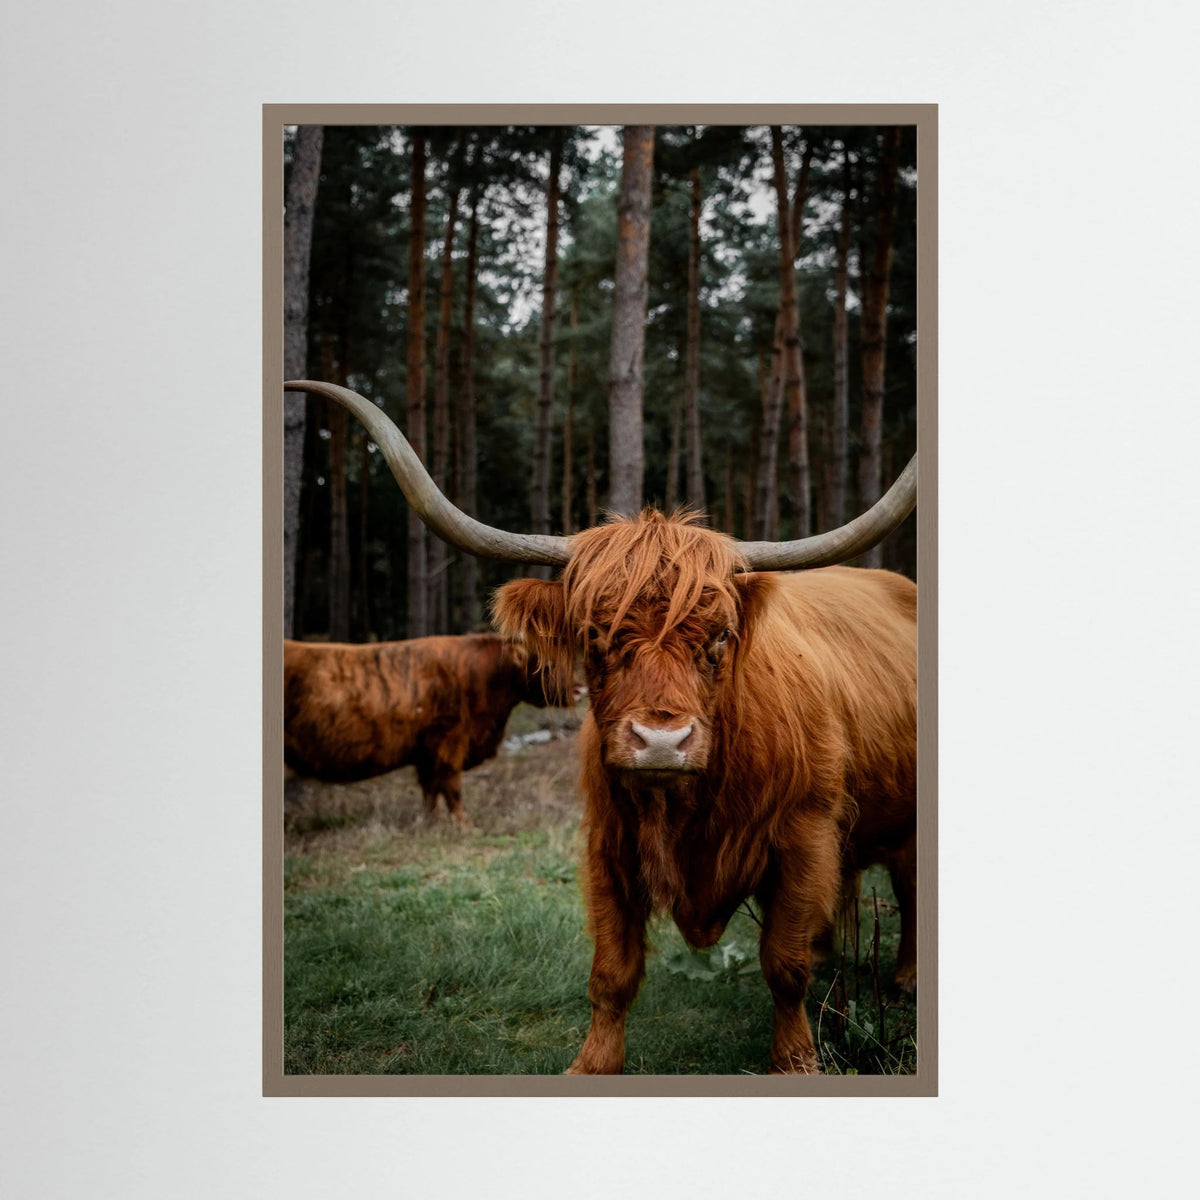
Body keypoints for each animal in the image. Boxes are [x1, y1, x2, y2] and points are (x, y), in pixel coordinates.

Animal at [284, 633, 566, 828]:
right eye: (546, 666)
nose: (574, 688)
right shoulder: (450, 742)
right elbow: (451, 788)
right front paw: (464, 825)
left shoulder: (427, 753)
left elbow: (430, 791)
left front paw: (433, 822)